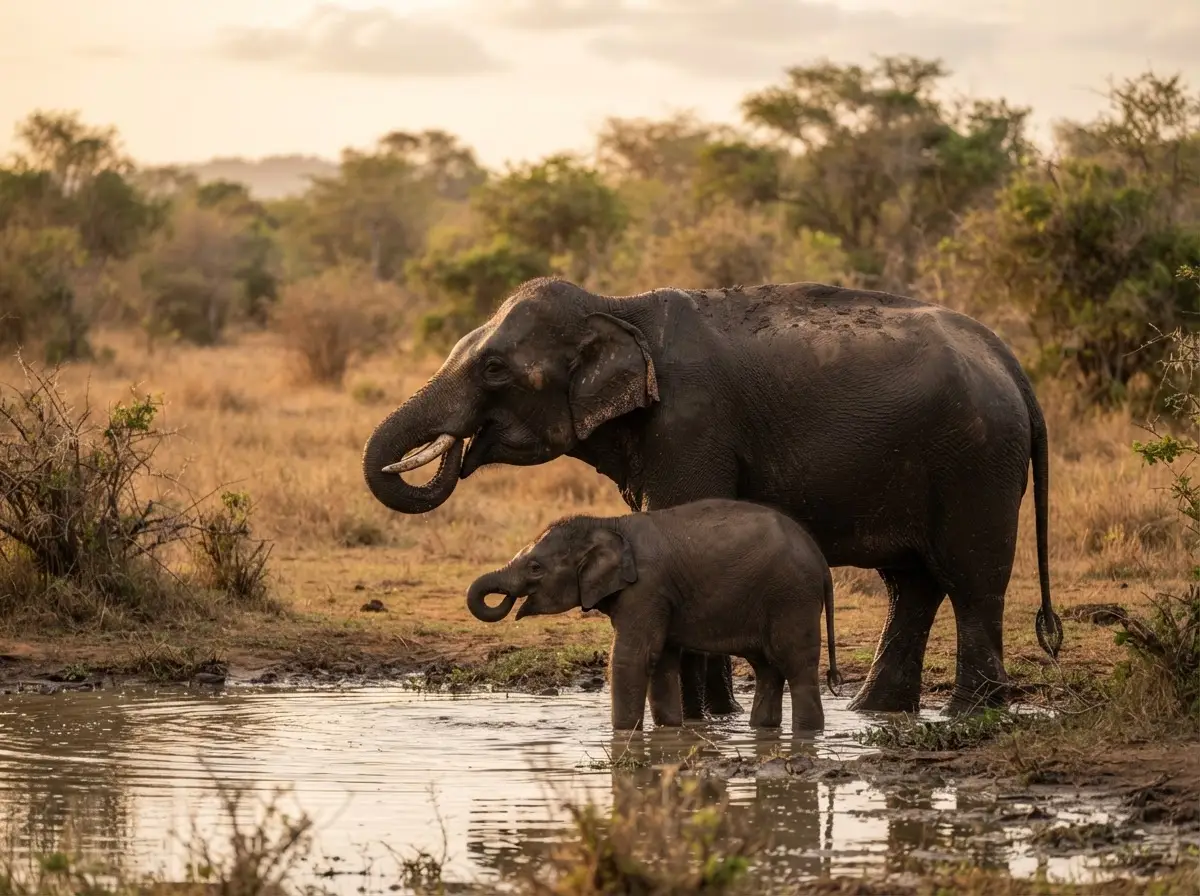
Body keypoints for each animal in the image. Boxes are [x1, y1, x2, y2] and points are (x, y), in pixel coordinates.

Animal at [465, 498, 842, 732]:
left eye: (535, 568)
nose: (506, 601)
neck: (608, 523)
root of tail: (821, 561)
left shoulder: (646, 589)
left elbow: (633, 657)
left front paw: (622, 733)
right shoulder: (659, 596)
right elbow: (661, 660)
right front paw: (669, 730)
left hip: (792, 598)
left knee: (796, 665)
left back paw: (808, 733)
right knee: (767, 668)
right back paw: (763, 729)